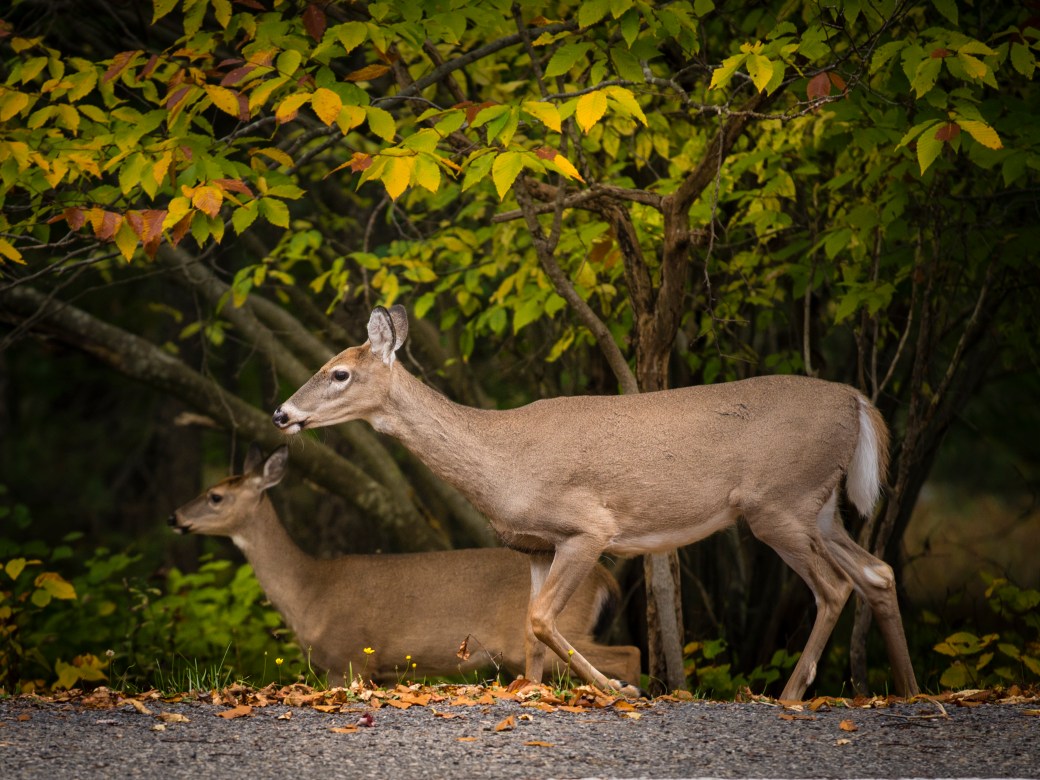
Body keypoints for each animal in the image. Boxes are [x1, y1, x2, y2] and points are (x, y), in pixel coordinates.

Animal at [168, 443, 640, 687]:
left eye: (215, 496)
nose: (175, 517)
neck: (309, 593)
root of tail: (606, 580)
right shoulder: (382, 671)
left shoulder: (350, 657)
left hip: (560, 627)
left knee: (630, 653)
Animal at [272, 304, 920, 701]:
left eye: (339, 373)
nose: (281, 413)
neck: (501, 460)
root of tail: (857, 400)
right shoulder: (535, 547)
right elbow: (529, 630)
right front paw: (533, 695)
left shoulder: (588, 529)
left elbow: (541, 619)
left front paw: (618, 691)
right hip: (819, 507)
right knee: (877, 572)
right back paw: (912, 691)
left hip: (778, 503)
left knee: (833, 588)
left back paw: (788, 696)